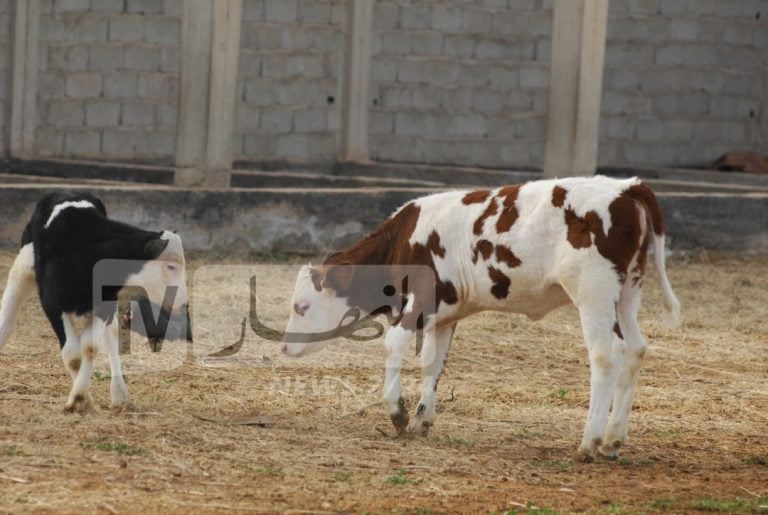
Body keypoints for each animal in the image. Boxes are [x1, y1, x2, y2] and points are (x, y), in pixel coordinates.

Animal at [0, 191, 190, 414]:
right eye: (171, 266)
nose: (185, 304)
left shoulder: (104, 304)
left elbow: (90, 347)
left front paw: (81, 397)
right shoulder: (52, 304)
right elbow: (73, 354)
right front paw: (81, 400)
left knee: (111, 336)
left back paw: (119, 393)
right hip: (22, 271)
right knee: (6, 323)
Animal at [280, 175, 680, 462]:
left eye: (301, 306)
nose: (284, 347)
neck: (406, 237)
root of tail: (627, 187)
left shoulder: (420, 298)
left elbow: (394, 344)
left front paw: (398, 413)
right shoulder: (444, 312)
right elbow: (432, 363)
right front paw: (423, 418)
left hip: (593, 292)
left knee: (605, 356)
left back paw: (589, 443)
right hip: (627, 292)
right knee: (634, 350)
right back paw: (613, 441)